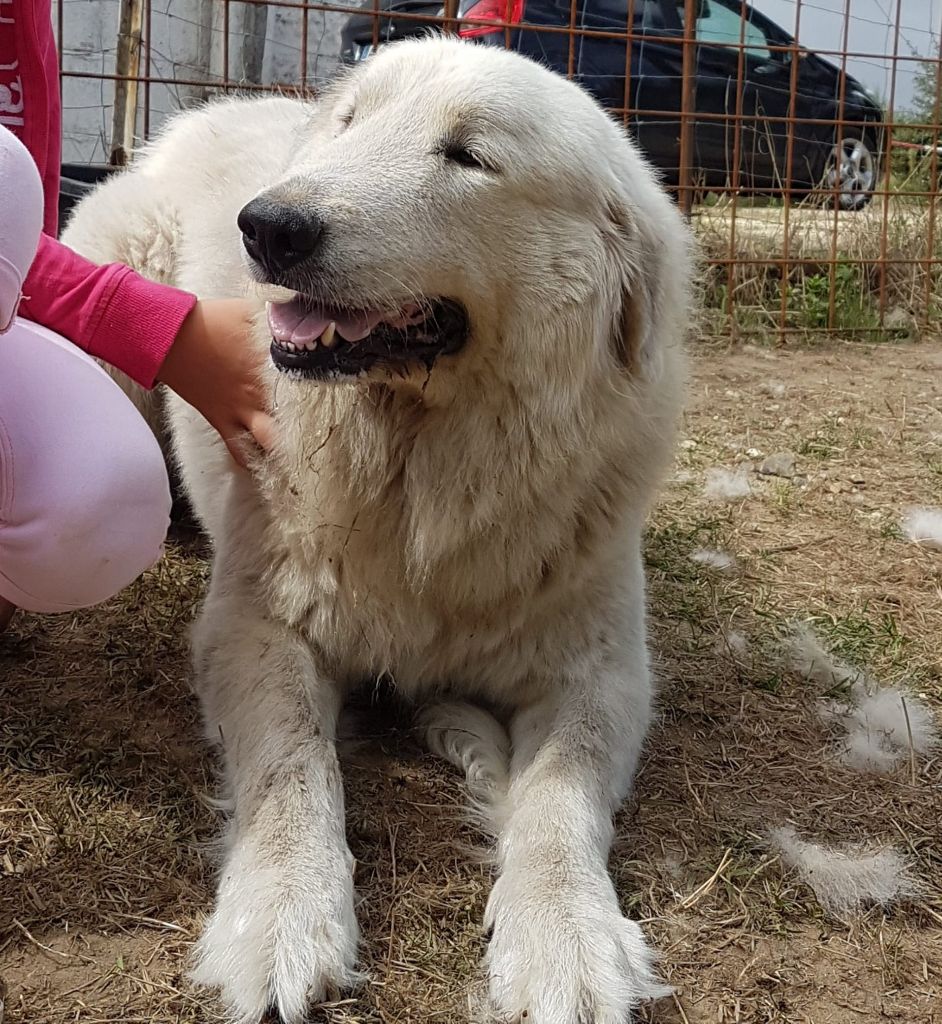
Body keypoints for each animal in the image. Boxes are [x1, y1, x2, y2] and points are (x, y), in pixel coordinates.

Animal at [64, 36, 692, 1019]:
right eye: (351, 125)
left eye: (469, 156)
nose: (268, 227)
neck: (422, 478)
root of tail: (216, 109)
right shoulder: (256, 629)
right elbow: (294, 768)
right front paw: (282, 913)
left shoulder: (602, 672)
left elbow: (560, 795)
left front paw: (567, 939)